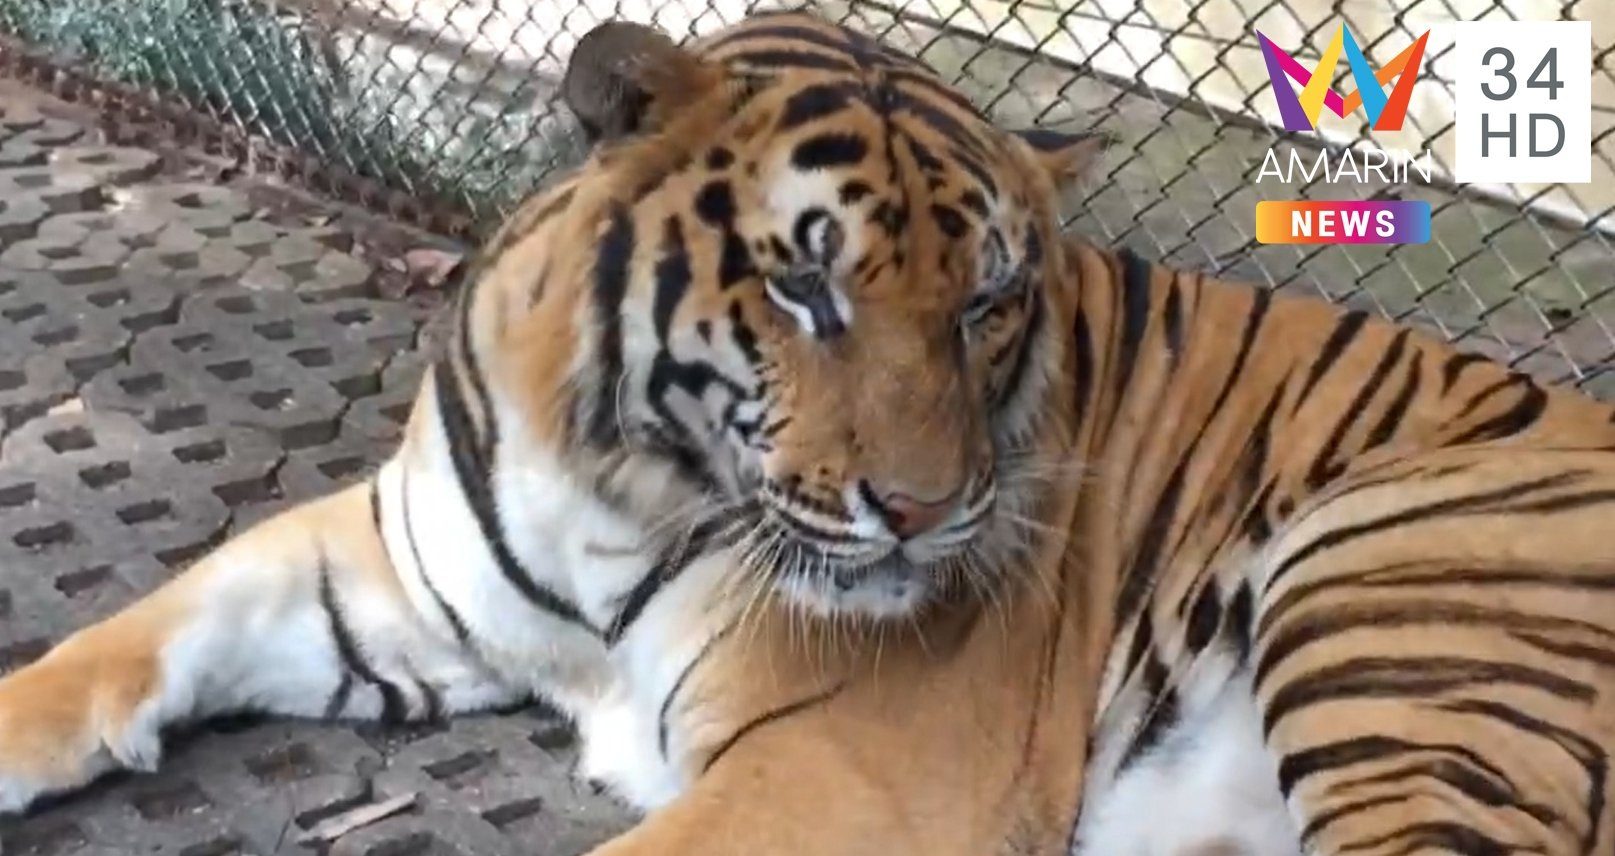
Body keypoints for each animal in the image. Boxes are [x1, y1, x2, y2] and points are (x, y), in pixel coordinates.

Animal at [5, 9, 1615, 856]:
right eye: (802, 285)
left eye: (988, 304)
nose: (927, 513)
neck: (615, 488)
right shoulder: (389, 575)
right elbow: (134, 632)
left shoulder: (847, 766)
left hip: (1381, 589)